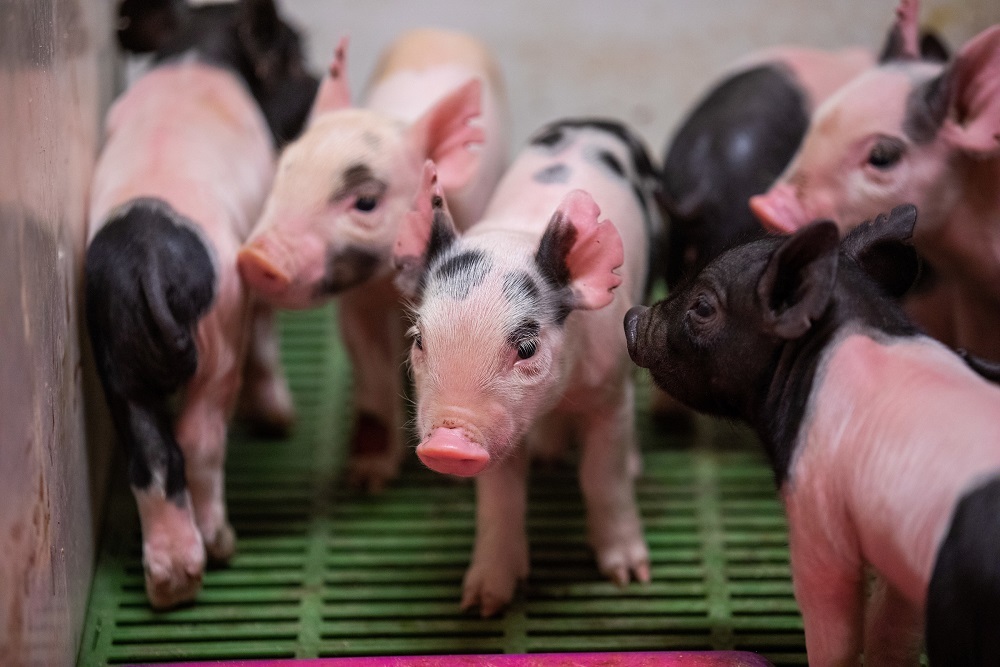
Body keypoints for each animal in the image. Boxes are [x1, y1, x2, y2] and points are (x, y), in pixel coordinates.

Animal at [85, 0, 317, 608]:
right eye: (291, 55)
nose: (315, 81)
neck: (198, 48)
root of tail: (147, 265)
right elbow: (265, 334)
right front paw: (280, 419)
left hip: (115, 357)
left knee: (151, 454)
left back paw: (170, 586)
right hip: (217, 333)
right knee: (199, 438)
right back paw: (221, 546)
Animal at [238, 29, 508, 492]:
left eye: (365, 202)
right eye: (284, 174)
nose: (256, 259)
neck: (393, 287)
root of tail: (440, 30)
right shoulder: (357, 303)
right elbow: (372, 377)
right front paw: (365, 482)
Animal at [393, 116, 664, 617]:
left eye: (526, 348)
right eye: (419, 340)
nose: (447, 442)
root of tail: (597, 120)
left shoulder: (609, 393)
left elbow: (604, 477)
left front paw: (629, 578)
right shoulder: (499, 434)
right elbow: (500, 499)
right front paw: (481, 603)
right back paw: (547, 457)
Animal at [625, 205, 1000, 666]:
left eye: (703, 306)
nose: (632, 318)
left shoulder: (816, 509)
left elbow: (833, 626)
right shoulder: (899, 555)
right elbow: (891, 630)